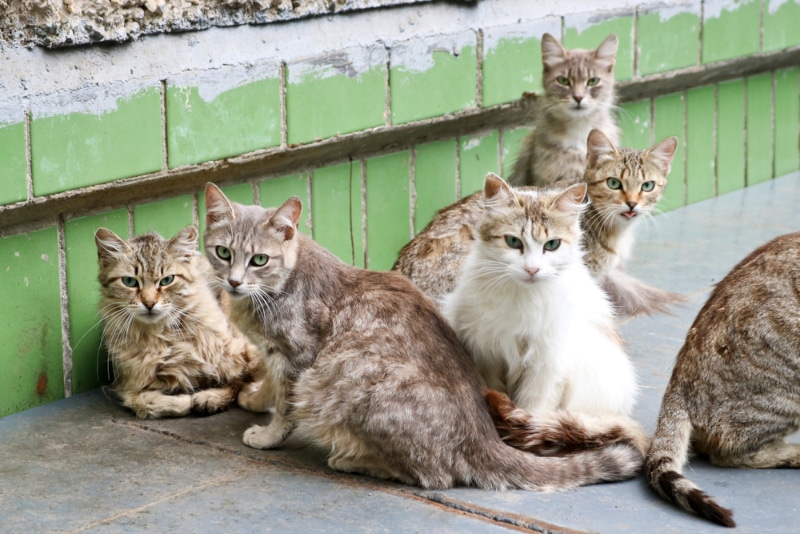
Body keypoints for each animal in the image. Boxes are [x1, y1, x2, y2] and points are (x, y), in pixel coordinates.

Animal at [95, 225, 272, 418]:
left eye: (167, 280)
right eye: (129, 282)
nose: (149, 303)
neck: (164, 338)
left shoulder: (243, 351)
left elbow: (250, 377)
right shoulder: (129, 384)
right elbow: (142, 403)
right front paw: (184, 401)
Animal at [202, 184, 648, 494]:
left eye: (260, 259)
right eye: (223, 253)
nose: (234, 281)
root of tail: (483, 434)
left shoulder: (297, 359)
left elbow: (285, 407)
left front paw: (267, 434)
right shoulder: (271, 353)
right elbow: (269, 385)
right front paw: (255, 397)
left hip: (337, 383)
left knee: (434, 475)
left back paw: (354, 459)